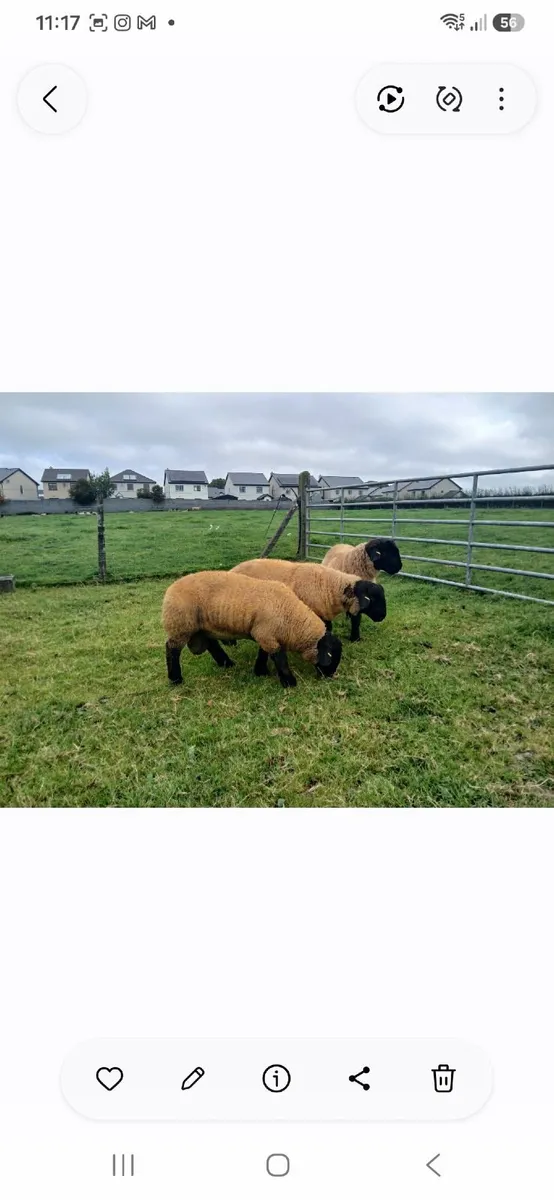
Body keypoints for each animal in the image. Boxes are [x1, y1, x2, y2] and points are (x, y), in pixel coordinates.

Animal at [162, 570, 343, 688]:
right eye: (332, 656)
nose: (329, 677)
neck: (291, 617)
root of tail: (170, 589)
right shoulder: (267, 634)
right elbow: (280, 659)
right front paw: (289, 682)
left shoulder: (265, 634)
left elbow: (264, 653)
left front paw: (260, 671)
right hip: (180, 624)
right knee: (172, 649)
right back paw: (175, 679)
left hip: (202, 627)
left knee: (212, 644)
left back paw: (226, 663)